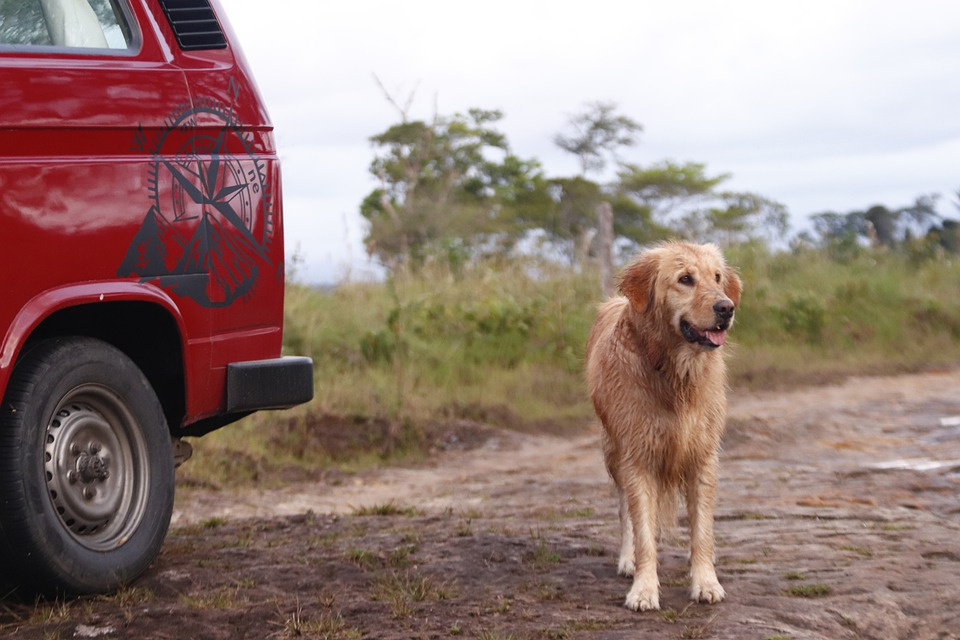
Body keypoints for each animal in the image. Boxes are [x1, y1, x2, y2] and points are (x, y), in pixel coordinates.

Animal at [584, 240, 744, 608]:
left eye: (717, 277)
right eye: (685, 279)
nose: (726, 308)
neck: (674, 372)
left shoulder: (703, 456)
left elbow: (702, 530)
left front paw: (706, 581)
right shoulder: (637, 456)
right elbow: (643, 529)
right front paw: (643, 589)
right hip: (612, 451)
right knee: (625, 512)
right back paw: (627, 560)